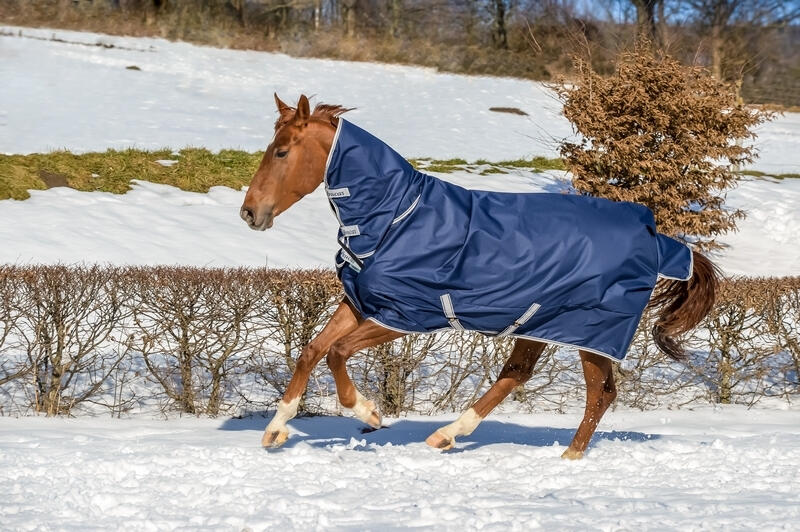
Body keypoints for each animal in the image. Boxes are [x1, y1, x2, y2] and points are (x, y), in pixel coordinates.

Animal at [240, 94, 719, 459]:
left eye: (281, 151)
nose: (249, 213)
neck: (396, 217)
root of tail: (655, 238)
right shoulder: (361, 303)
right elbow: (311, 350)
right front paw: (276, 430)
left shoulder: (403, 316)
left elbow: (337, 353)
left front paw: (370, 413)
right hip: (536, 322)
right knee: (518, 374)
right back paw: (447, 434)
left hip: (590, 331)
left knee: (599, 393)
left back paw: (568, 456)